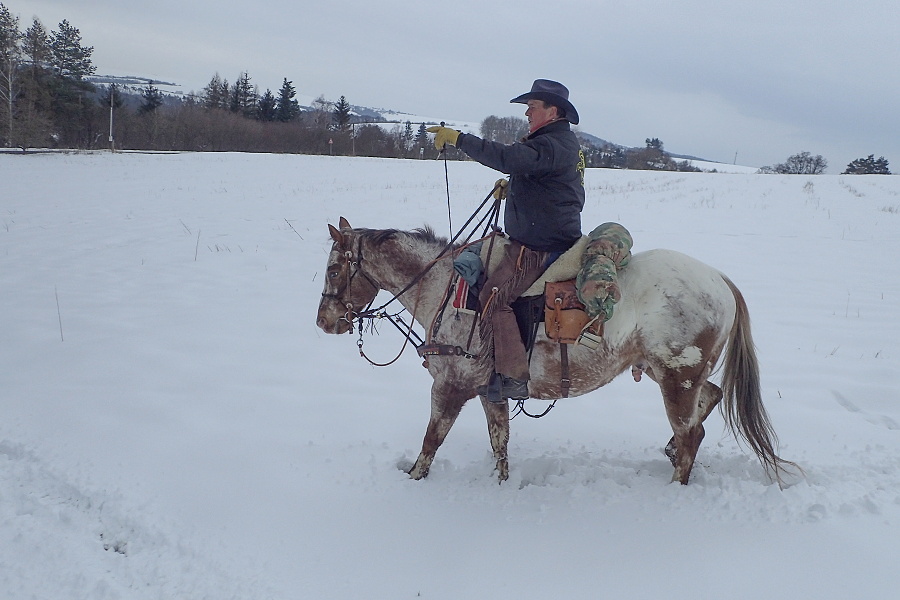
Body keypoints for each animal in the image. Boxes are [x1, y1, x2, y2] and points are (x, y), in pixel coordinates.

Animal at [316, 218, 796, 486]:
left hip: (677, 378)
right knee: (709, 400)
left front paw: (414, 480)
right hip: (673, 373)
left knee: (690, 434)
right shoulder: (491, 391)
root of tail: (720, 280)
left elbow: (431, 442)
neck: (447, 291)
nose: (324, 320)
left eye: (335, 269)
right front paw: (500, 486)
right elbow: (500, 442)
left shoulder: (450, 387)